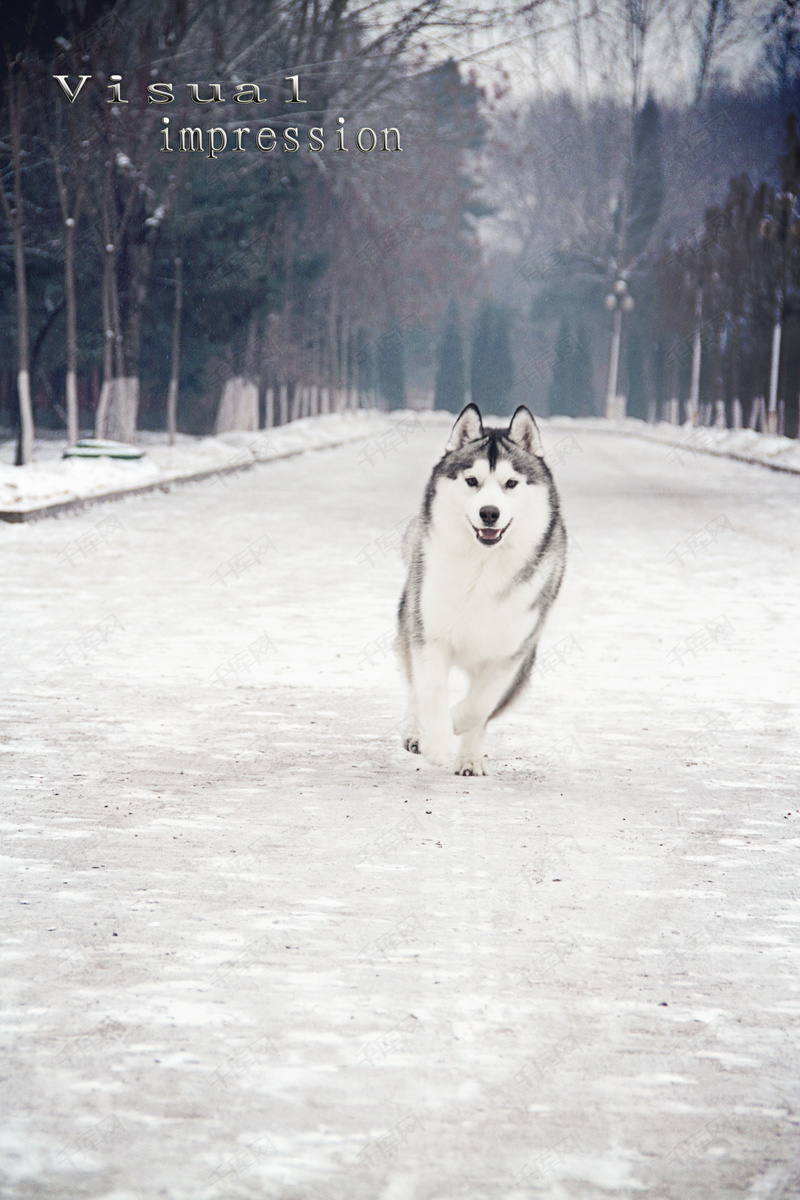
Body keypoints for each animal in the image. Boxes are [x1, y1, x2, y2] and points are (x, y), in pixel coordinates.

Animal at [398, 403, 566, 777]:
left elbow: (480, 706)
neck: (483, 567)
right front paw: (436, 739)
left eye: (511, 483)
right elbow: (431, 691)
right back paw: (417, 733)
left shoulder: (512, 652)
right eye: (472, 481)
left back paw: (469, 759)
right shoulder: (430, 634)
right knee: (415, 687)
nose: (489, 513)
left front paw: (456, 729)